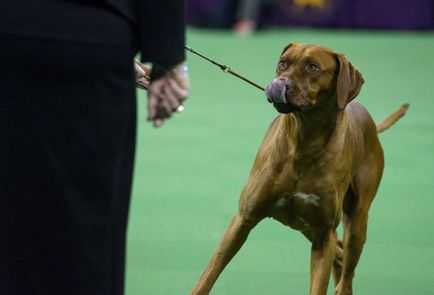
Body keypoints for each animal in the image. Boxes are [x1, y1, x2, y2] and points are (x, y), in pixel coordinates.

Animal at [189, 42, 406, 294]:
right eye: (283, 63)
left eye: (312, 67)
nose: (279, 84)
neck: (304, 140)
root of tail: (370, 121)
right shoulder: (244, 219)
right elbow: (208, 276)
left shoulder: (323, 235)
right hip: (305, 226)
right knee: (339, 252)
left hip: (356, 220)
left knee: (347, 265)